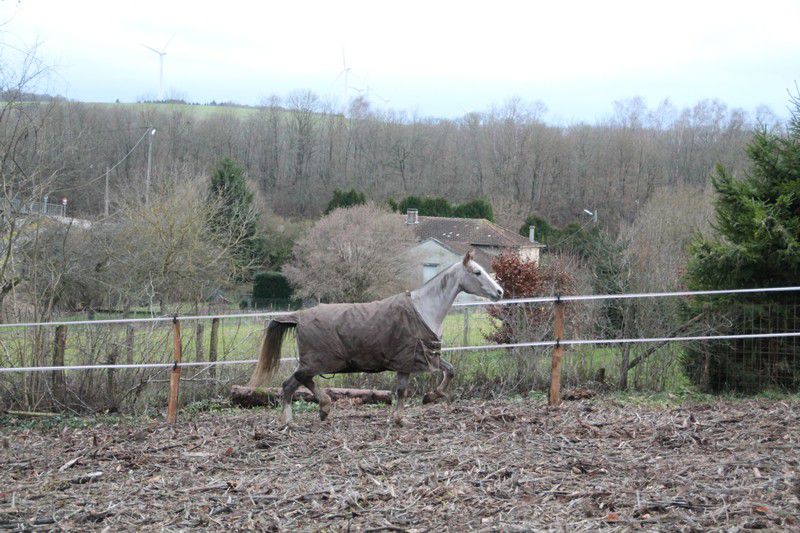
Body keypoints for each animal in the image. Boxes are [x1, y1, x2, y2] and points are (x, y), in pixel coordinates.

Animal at [247, 250, 504, 425]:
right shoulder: (408, 359)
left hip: (316, 362)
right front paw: (403, 417)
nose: (500, 292)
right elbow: (402, 391)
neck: (424, 309)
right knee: (294, 383)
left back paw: (312, 413)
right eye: (477, 272)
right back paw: (301, 417)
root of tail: (298, 316)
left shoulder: (420, 357)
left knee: (298, 383)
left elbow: (448, 372)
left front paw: (428, 398)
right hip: (318, 361)